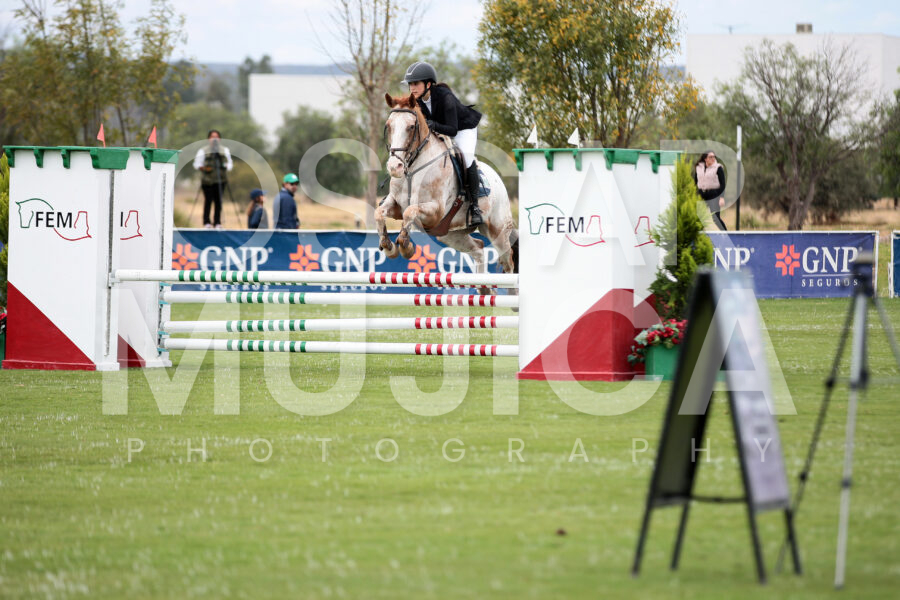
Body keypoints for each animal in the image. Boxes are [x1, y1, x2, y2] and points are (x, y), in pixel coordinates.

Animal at [377, 93, 518, 290]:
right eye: (389, 126)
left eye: (411, 127)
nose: (394, 167)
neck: (412, 169)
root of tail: (498, 179)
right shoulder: (396, 205)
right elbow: (380, 212)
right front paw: (388, 247)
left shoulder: (435, 211)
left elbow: (410, 211)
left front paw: (405, 246)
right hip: (449, 233)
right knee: (478, 247)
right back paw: (484, 290)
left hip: (498, 231)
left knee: (508, 262)